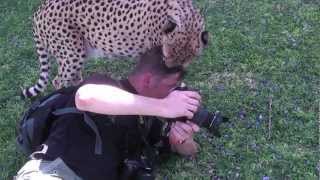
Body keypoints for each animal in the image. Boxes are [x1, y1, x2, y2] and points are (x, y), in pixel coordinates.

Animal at [22, 0, 208, 98]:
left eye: (182, 63)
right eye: (164, 57)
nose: (172, 70)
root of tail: (39, 10)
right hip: (72, 53)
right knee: (58, 81)